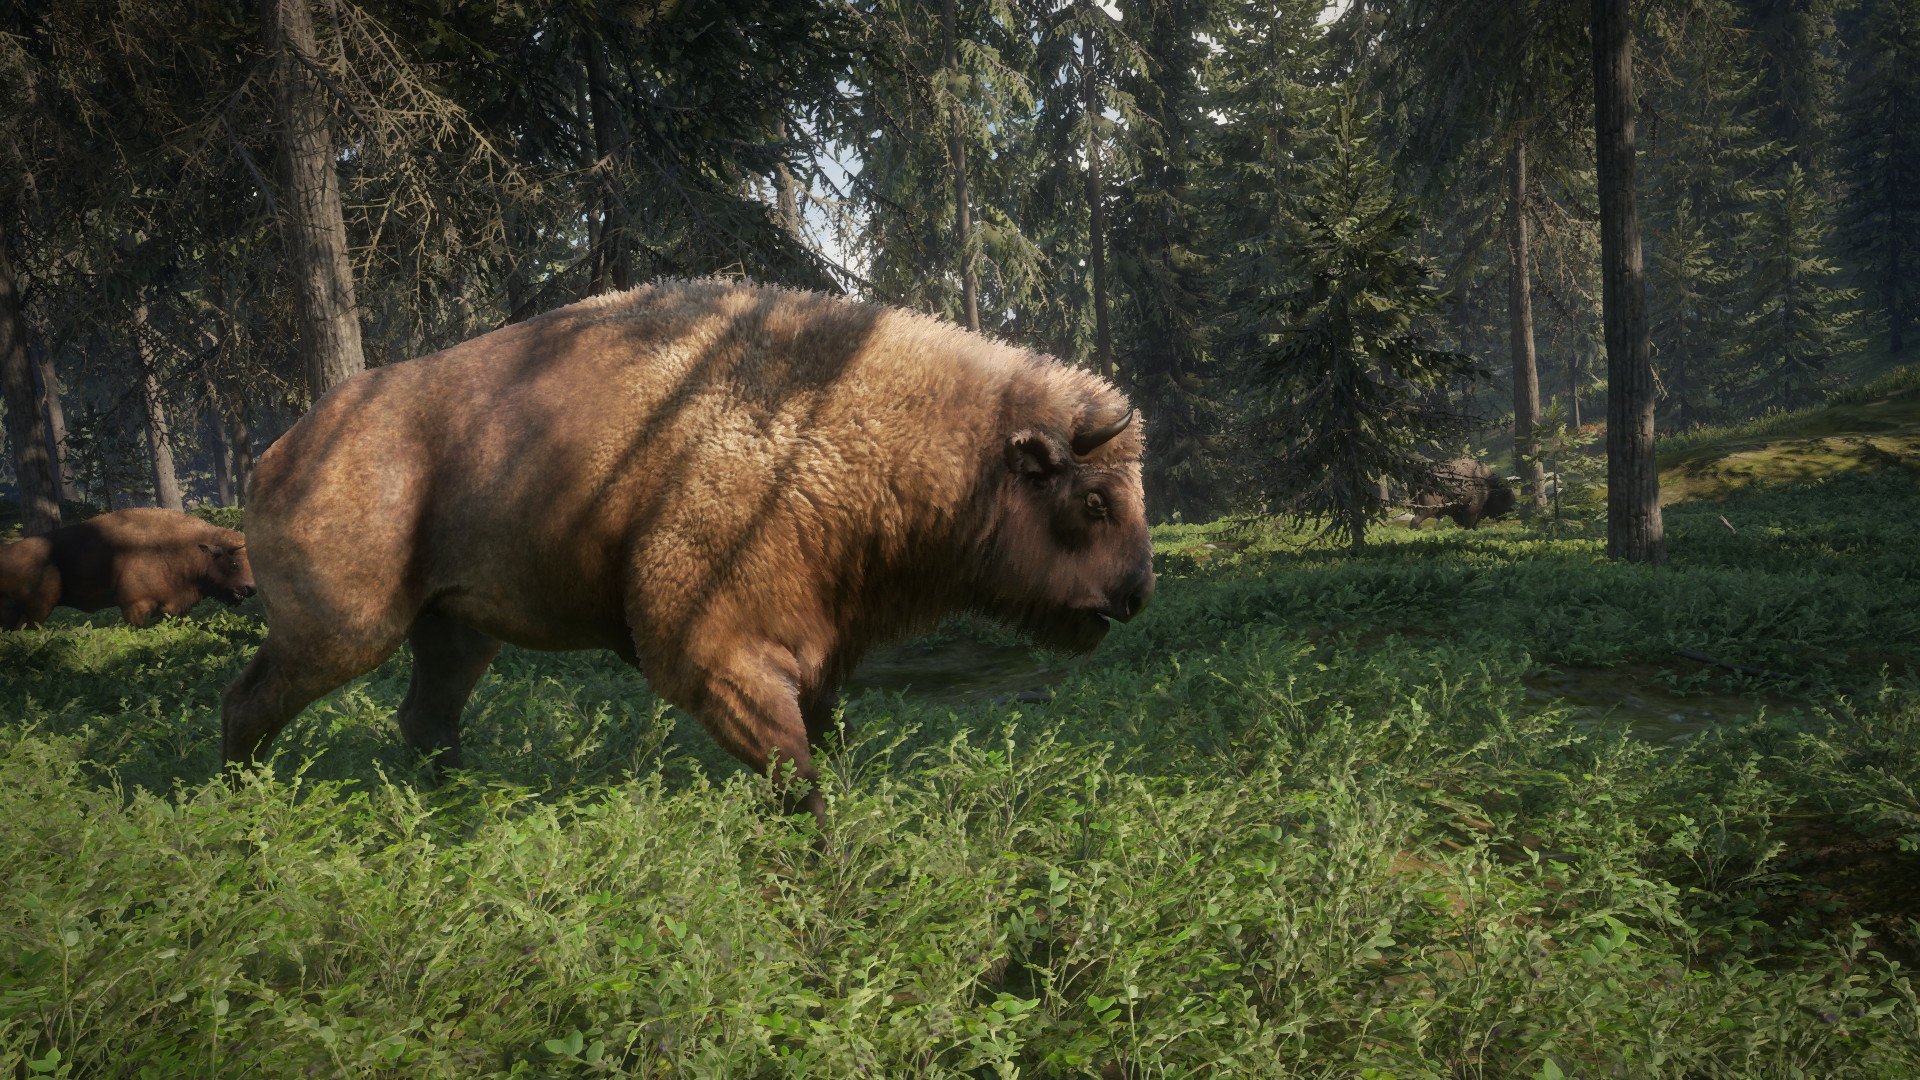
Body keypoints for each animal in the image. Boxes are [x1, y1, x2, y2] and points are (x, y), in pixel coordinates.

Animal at [223, 279, 1154, 820]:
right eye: (1094, 500)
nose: (1137, 594)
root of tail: (278, 452)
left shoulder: (818, 662)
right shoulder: (720, 657)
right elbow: (796, 779)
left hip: (454, 629)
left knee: (425, 718)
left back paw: (452, 811)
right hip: (346, 629)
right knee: (252, 700)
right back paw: (242, 805)